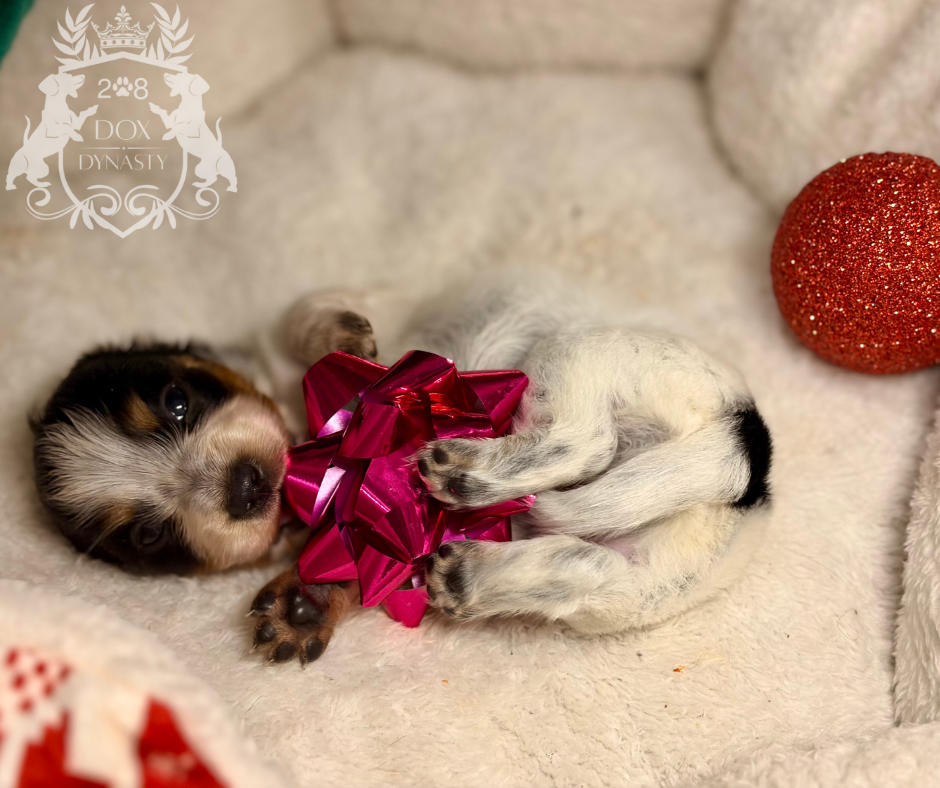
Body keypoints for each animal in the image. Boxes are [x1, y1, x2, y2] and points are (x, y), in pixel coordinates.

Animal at [31, 282, 771, 665]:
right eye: (148, 536)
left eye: (177, 401)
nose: (243, 485)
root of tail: (742, 452)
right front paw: (304, 605)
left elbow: (303, 320)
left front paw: (341, 337)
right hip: (635, 584)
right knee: (578, 560)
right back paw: (470, 570)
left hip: (582, 356)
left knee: (583, 441)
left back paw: (463, 474)